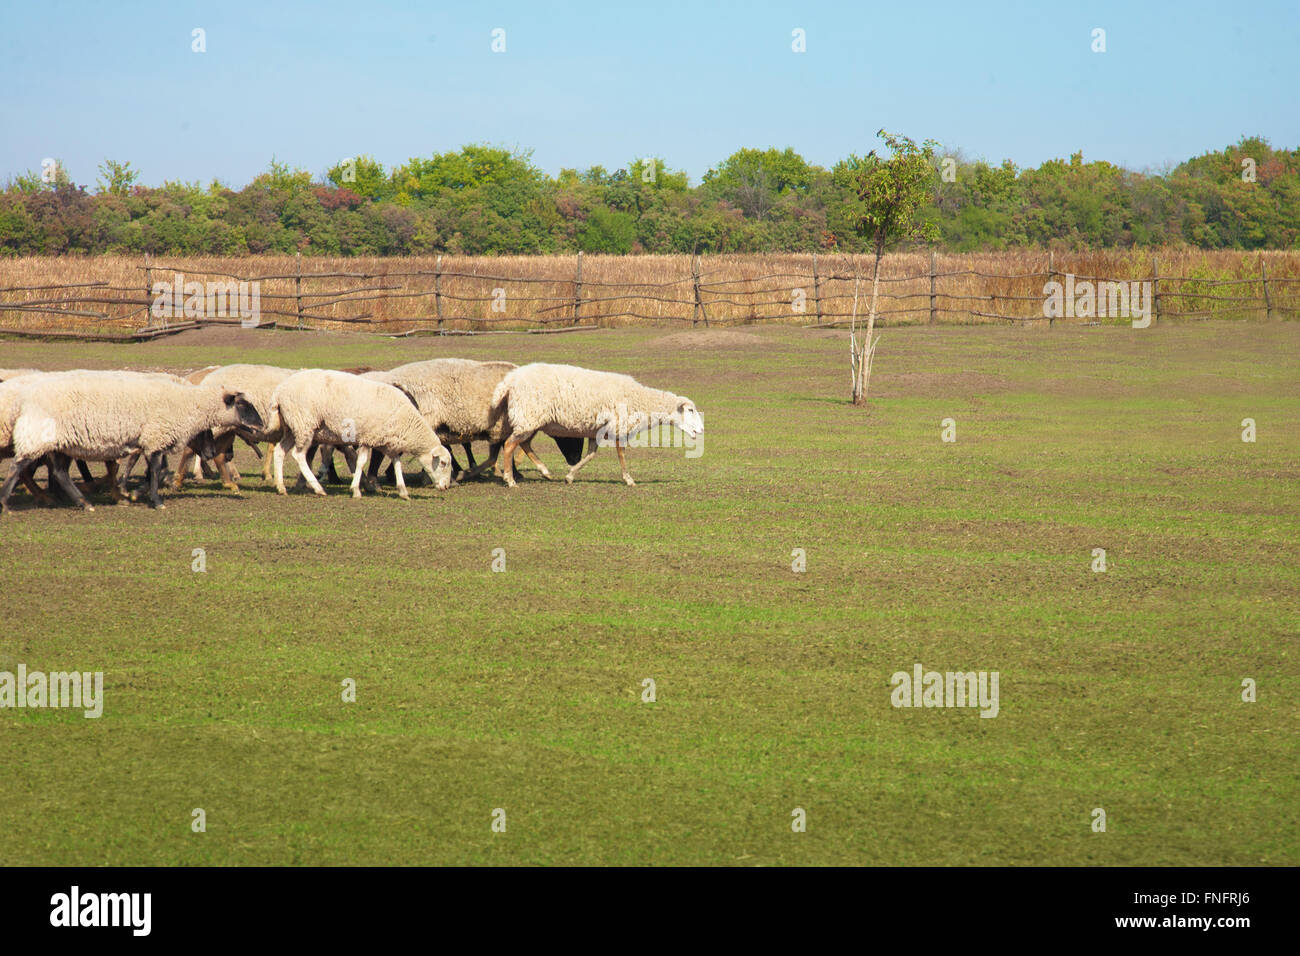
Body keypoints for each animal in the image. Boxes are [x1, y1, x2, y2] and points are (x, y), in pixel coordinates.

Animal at [0, 371, 263, 512]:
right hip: (39, 436)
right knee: (18, 467)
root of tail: (25, 400)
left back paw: (83, 502)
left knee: (59, 473)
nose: (260, 424)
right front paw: (154, 499)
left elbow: (154, 470)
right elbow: (156, 471)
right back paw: (6, 502)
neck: (185, 405)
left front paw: (135, 492)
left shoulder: (149, 440)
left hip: (60, 443)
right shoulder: (156, 437)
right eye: (241, 404)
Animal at [268, 369, 452, 499]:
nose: (446, 487)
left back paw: (281, 487)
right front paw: (356, 490)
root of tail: (279, 392)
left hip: (292, 427)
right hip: (304, 424)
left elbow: (397, 463)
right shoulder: (367, 437)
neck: (406, 422)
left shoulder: (387, 442)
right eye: (443, 463)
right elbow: (361, 462)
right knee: (299, 455)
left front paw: (403, 490)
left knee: (279, 451)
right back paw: (318, 488)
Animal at [491, 363, 703, 487]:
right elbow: (621, 454)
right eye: (690, 410)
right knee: (510, 445)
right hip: (528, 415)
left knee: (524, 444)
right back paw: (510, 480)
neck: (640, 400)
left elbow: (591, 454)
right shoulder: (619, 425)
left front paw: (570, 476)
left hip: (531, 419)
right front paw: (629, 479)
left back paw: (545, 472)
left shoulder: (596, 430)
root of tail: (509, 380)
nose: (701, 430)